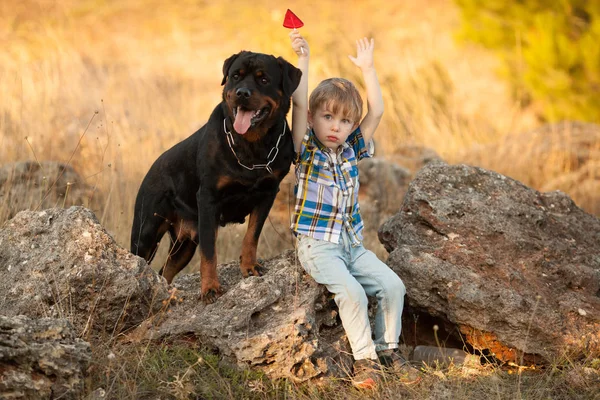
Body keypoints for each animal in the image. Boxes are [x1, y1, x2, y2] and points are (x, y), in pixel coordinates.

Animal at [131, 52, 300, 304]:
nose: (242, 93)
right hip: (146, 232)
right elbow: (210, 252)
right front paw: (210, 288)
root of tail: (151, 169)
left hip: (186, 243)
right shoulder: (208, 199)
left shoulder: (268, 193)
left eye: (263, 80)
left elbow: (252, 235)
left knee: (165, 271)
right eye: (235, 76)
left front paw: (249, 267)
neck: (252, 146)